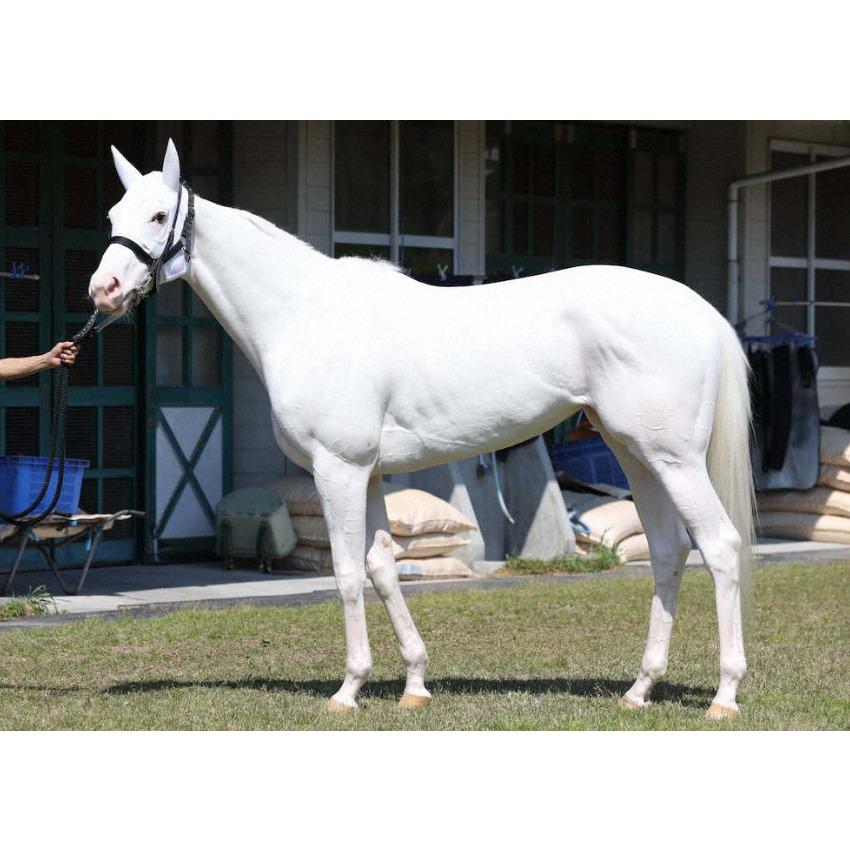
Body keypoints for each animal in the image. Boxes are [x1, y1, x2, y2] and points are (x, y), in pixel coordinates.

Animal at [89, 139, 754, 719]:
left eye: (158, 215)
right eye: (113, 214)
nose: (104, 291)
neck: (305, 315)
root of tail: (700, 310)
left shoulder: (339, 470)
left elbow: (347, 572)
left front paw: (348, 690)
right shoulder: (369, 474)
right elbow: (384, 566)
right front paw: (413, 684)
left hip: (674, 461)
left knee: (719, 546)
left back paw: (724, 696)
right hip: (636, 455)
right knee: (668, 551)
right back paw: (640, 690)